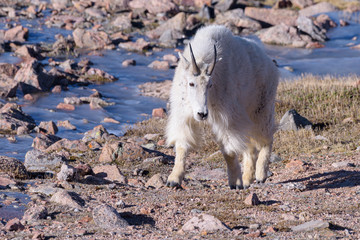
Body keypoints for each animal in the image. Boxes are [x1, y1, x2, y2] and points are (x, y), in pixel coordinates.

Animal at [165, 24, 278, 189]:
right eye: (191, 83)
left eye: (210, 85)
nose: (202, 114)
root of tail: (270, 64)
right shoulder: (184, 114)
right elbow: (182, 145)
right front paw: (173, 179)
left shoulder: (228, 117)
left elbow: (229, 150)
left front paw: (235, 182)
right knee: (250, 147)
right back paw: (247, 179)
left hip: (262, 107)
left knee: (266, 138)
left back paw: (260, 175)